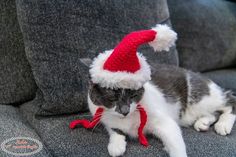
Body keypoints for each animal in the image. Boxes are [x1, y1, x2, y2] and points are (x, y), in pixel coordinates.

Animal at [85, 60, 235, 157]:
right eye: (112, 99)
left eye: (133, 95)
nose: (125, 111)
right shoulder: (104, 117)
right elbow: (114, 129)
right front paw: (116, 145)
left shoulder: (163, 120)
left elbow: (175, 142)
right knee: (212, 113)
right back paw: (203, 122)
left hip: (201, 97)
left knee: (230, 101)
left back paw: (223, 124)